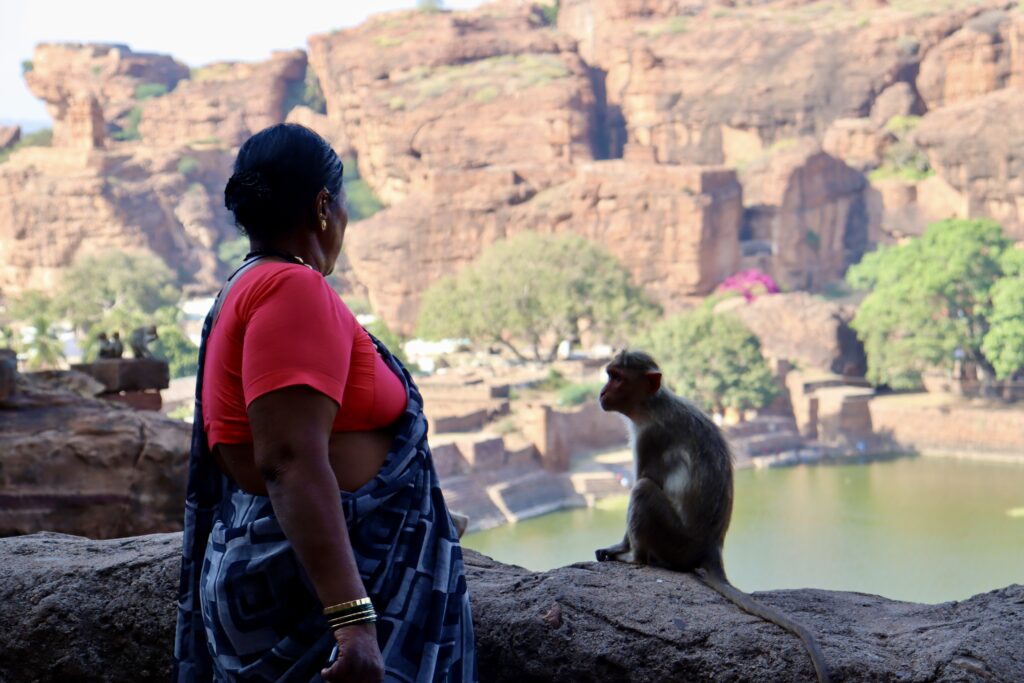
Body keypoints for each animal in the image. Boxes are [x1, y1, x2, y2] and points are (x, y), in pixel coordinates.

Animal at [593, 352, 831, 683]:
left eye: (616, 378)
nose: (602, 392)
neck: (653, 404)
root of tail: (711, 548)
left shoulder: (649, 437)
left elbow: (642, 478)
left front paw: (619, 548)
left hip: (675, 540)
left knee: (643, 490)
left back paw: (636, 558)